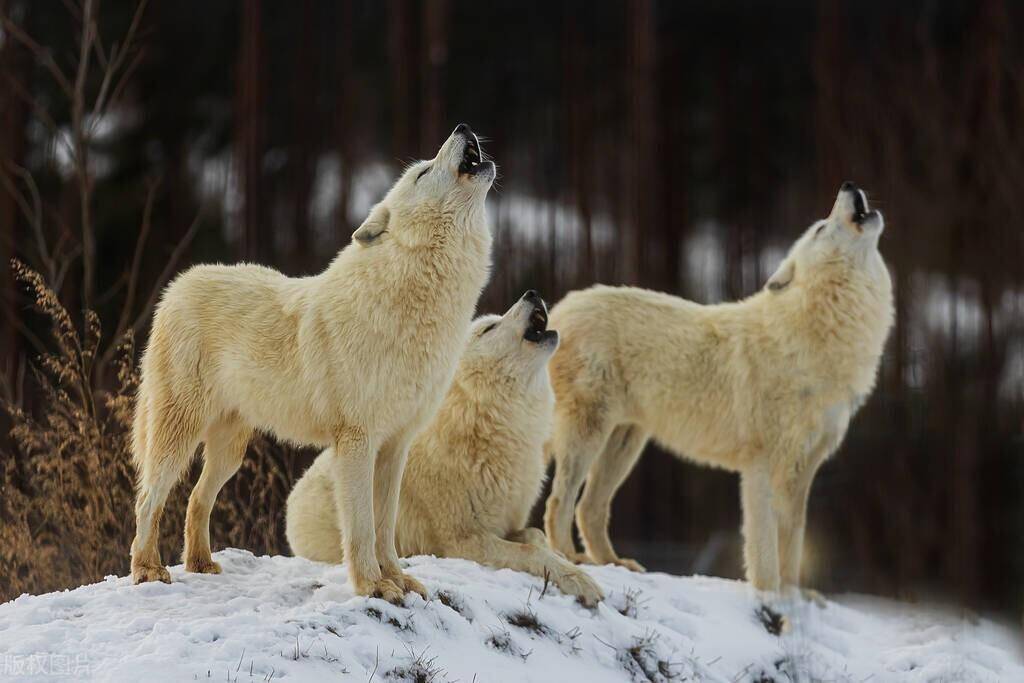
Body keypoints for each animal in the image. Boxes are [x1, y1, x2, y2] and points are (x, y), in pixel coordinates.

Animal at [128, 124, 495, 602]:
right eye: (423, 171)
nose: (463, 128)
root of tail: (177, 286)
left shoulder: (395, 446)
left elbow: (385, 528)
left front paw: (397, 580)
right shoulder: (356, 442)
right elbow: (361, 527)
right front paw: (372, 586)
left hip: (230, 452)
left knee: (195, 499)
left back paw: (201, 564)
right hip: (179, 436)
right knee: (147, 498)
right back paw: (147, 570)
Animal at [284, 290, 602, 606]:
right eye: (489, 328)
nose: (532, 293)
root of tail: (293, 496)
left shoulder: (506, 525)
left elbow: (536, 535)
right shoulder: (462, 540)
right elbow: (531, 551)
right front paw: (583, 582)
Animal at [544, 183, 897, 593]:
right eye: (820, 229)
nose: (848, 186)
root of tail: (559, 309)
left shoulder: (803, 469)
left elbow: (793, 545)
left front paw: (794, 595)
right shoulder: (761, 466)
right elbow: (765, 546)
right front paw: (769, 594)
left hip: (625, 443)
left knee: (589, 508)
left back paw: (614, 562)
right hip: (590, 435)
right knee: (559, 502)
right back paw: (570, 558)